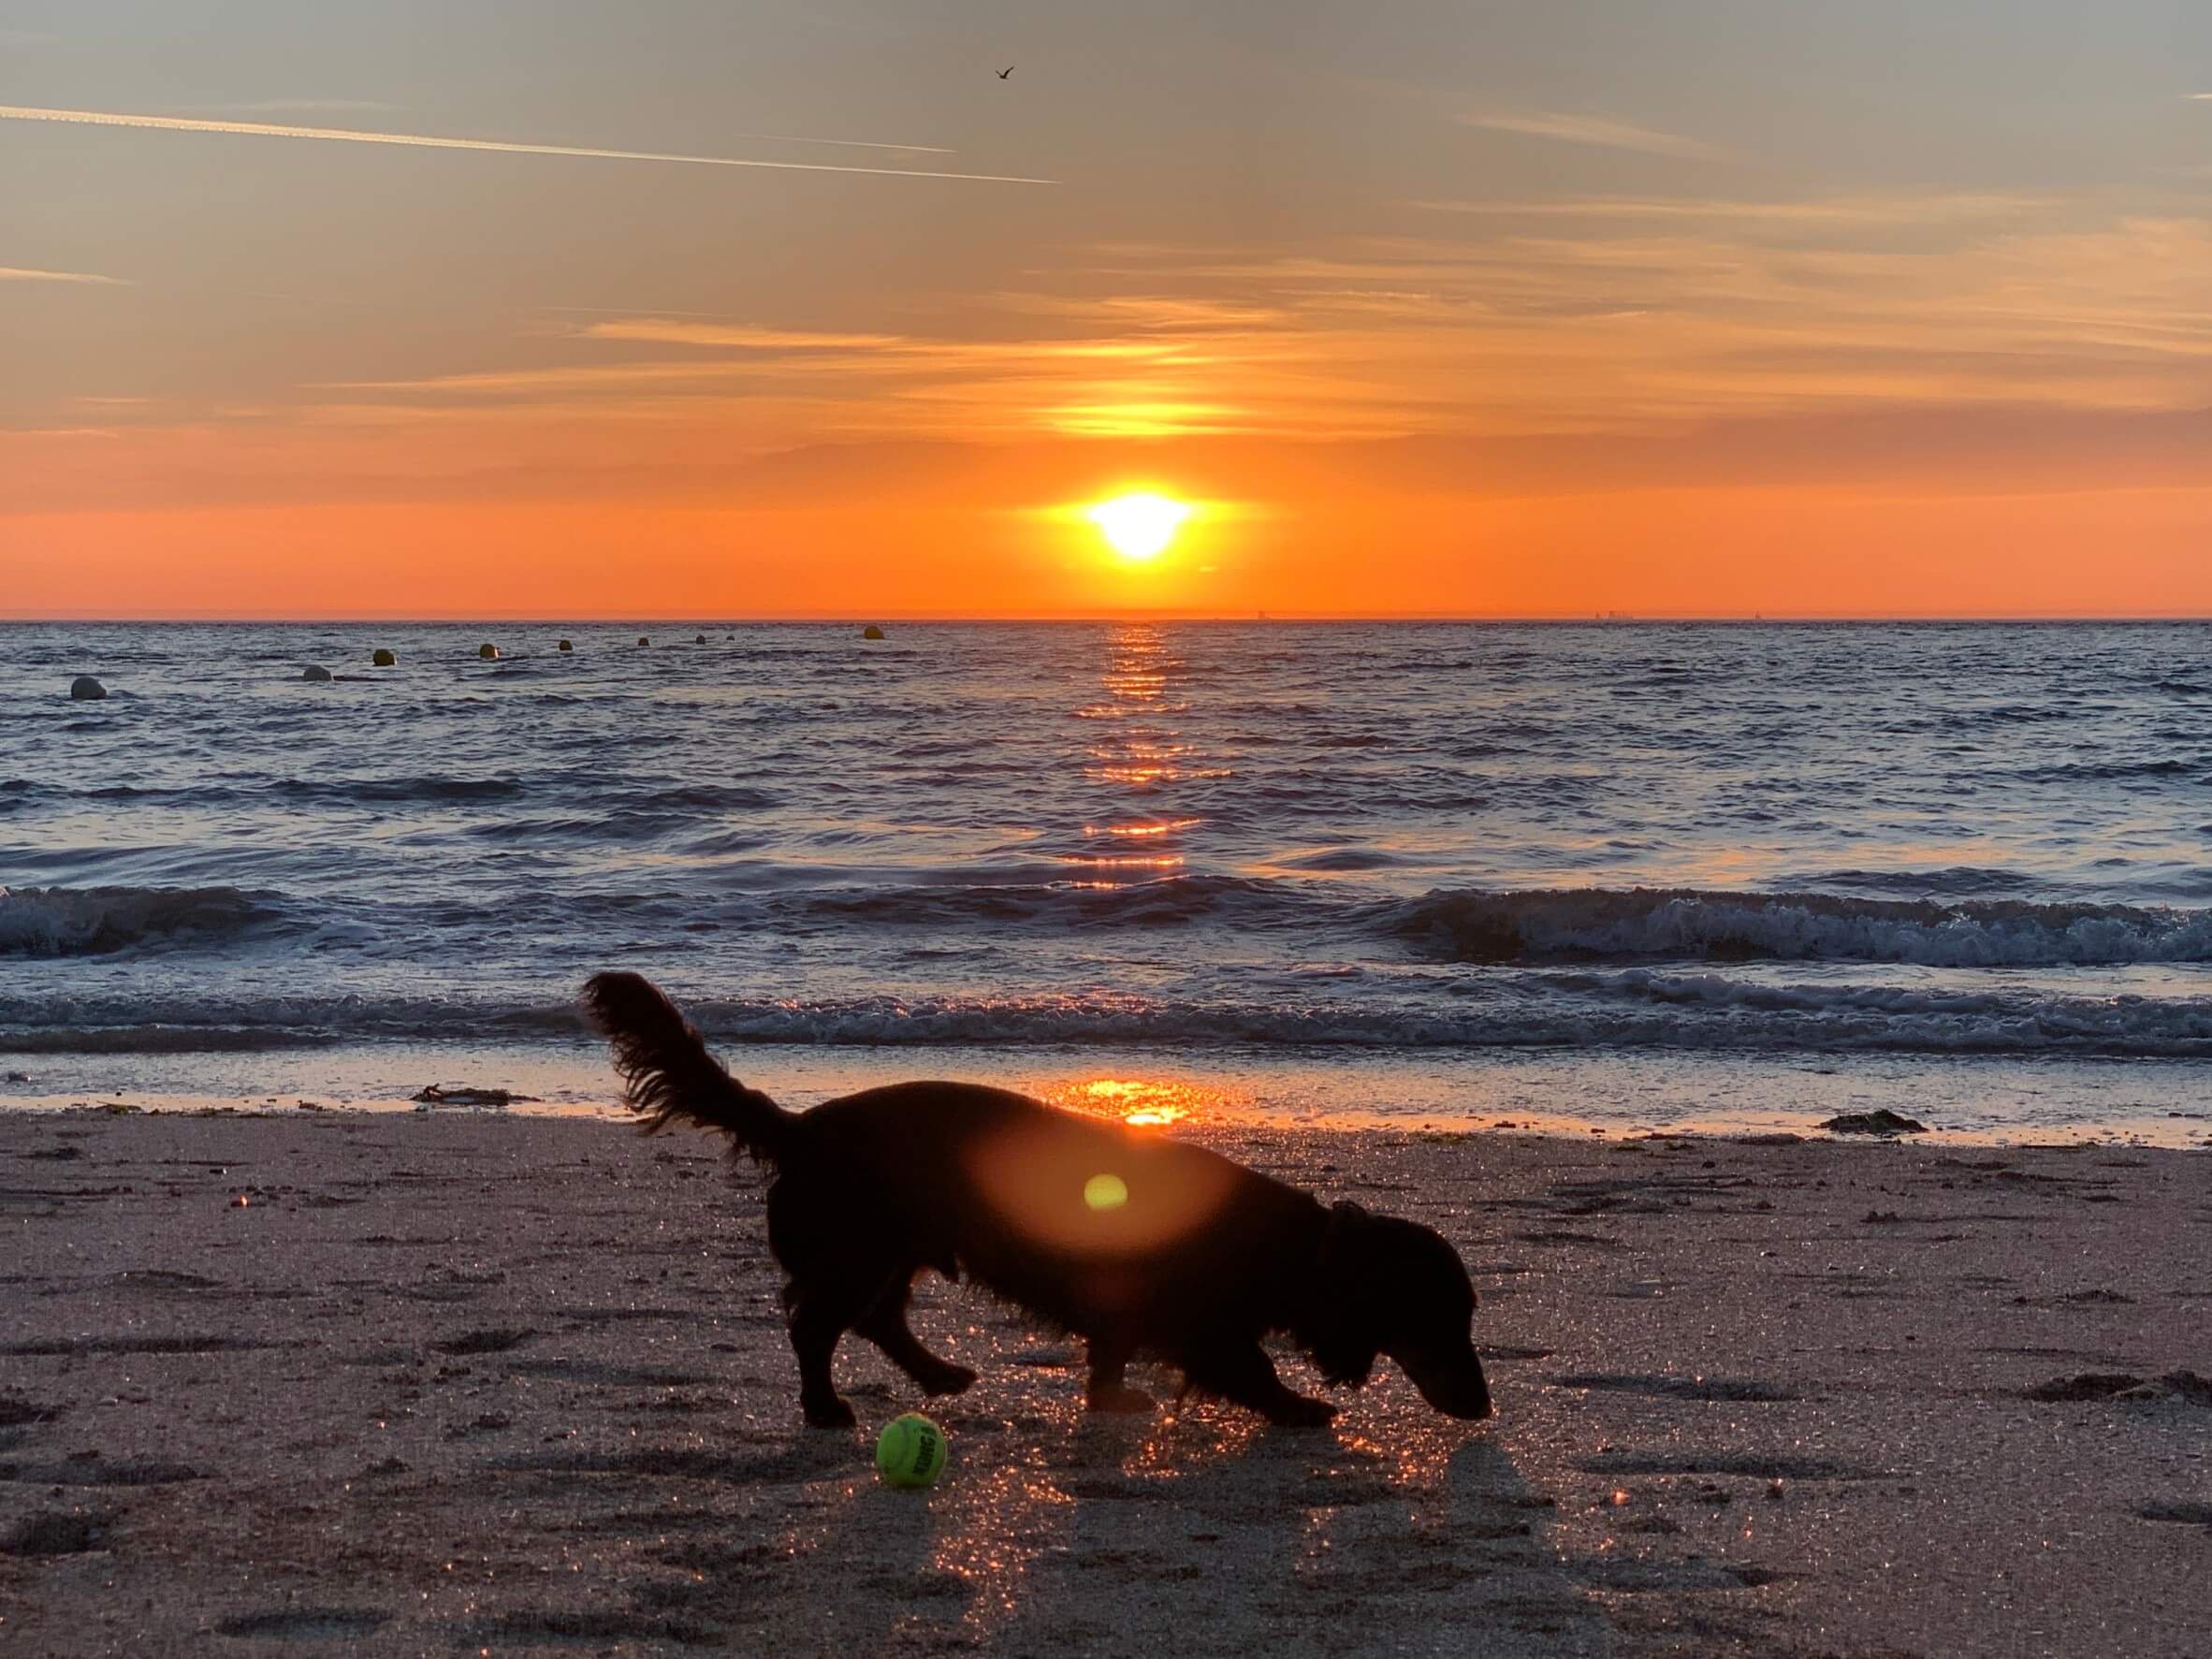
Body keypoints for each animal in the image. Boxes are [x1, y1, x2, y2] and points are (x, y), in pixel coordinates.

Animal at [579, 973, 1495, 1433]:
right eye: (1445, 1321)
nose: (1485, 1406)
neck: (1291, 1246)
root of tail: (799, 1126)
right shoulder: (1203, 1322)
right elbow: (1250, 1366)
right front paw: (1299, 1406)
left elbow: (1115, 1351)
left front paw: (1112, 1395)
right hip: (857, 1254)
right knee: (817, 1328)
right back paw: (825, 1406)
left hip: (893, 1252)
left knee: (880, 1320)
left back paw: (941, 1374)